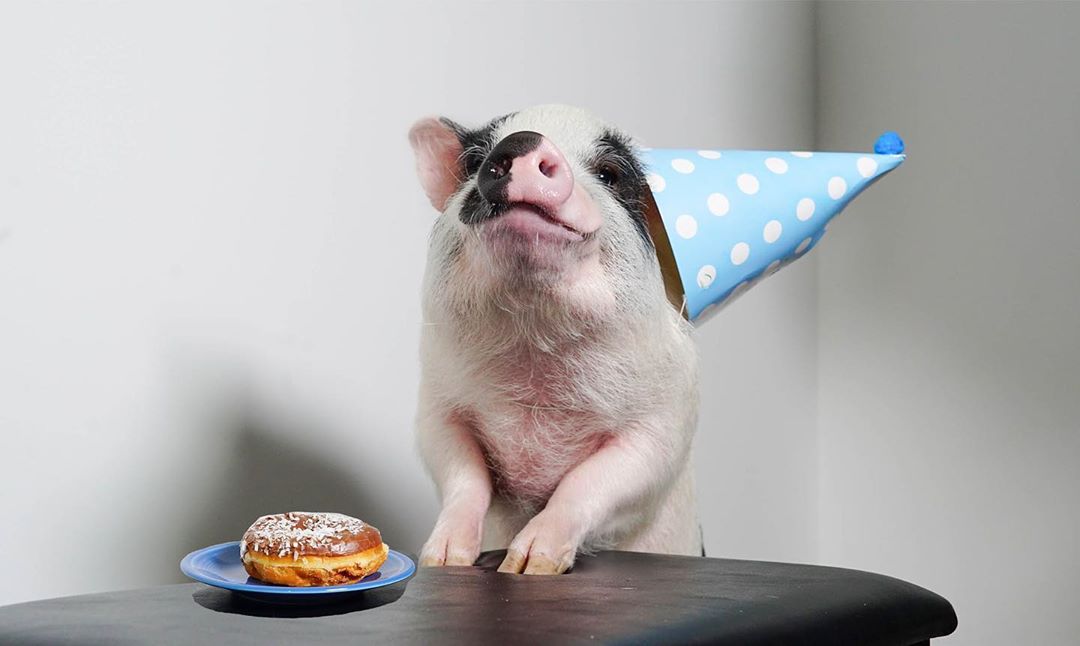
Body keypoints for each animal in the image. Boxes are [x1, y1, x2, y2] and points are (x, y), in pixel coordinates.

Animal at [408, 104, 700, 575]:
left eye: (609, 174)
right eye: (475, 161)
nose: (524, 140)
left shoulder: (667, 420)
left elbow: (592, 481)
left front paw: (525, 567)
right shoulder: (437, 403)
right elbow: (462, 474)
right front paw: (442, 561)